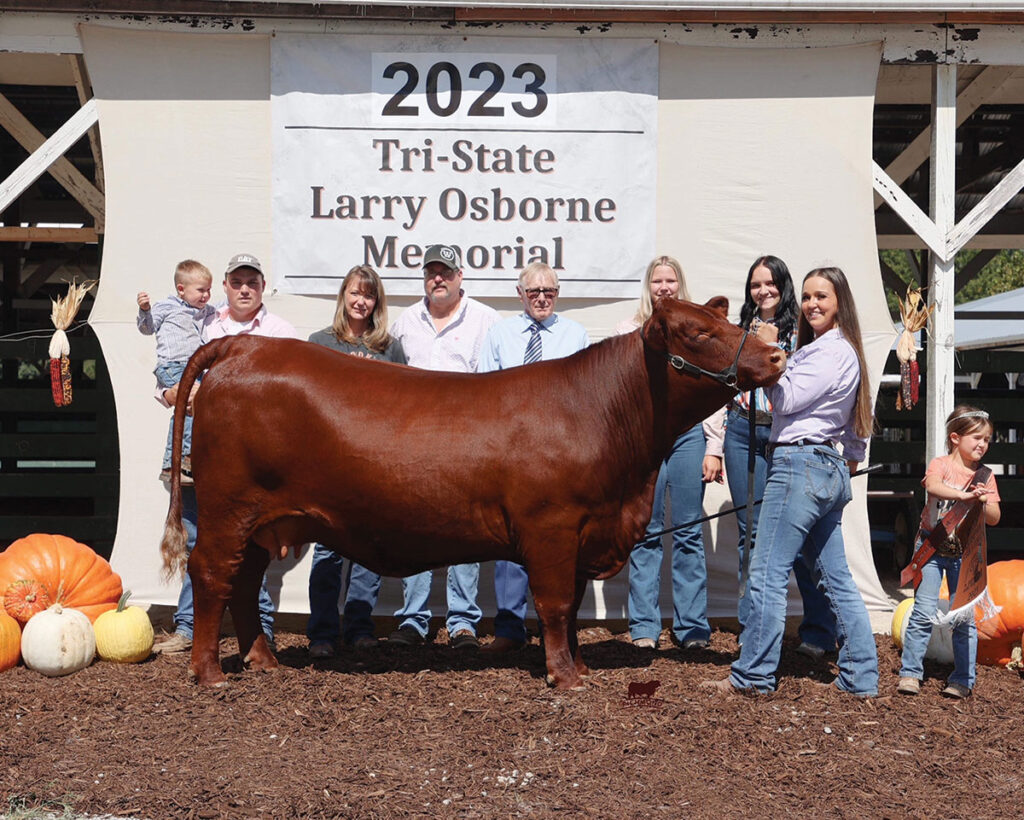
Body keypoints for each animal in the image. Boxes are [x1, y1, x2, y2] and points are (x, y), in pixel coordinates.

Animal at [161, 294, 782, 683]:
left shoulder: (585, 532)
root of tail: (244, 348)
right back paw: (209, 673)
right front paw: (564, 677)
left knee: (242, 582)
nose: (776, 353)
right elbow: (556, 604)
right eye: (699, 333)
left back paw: (263, 661)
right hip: (228, 508)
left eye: (729, 324)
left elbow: (572, 606)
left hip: (258, 521)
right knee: (213, 574)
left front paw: (577, 667)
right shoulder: (552, 526)